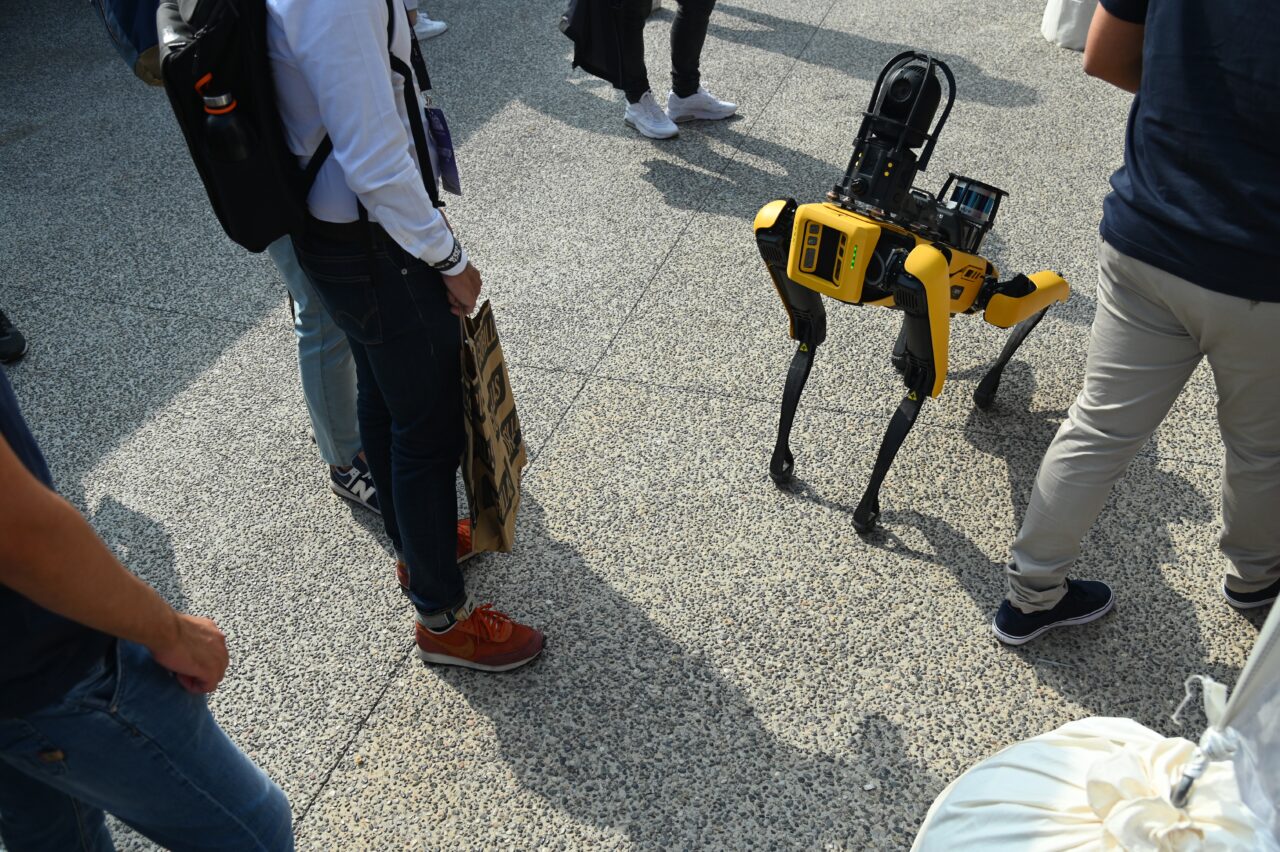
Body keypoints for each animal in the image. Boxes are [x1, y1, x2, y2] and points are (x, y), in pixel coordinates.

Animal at [757, 51, 1070, 532]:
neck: (872, 212)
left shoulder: (922, 274)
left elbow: (917, 378)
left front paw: (862, 507)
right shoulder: (777, 223)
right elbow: (815, 339)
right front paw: (799, 472)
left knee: (1014, 303)